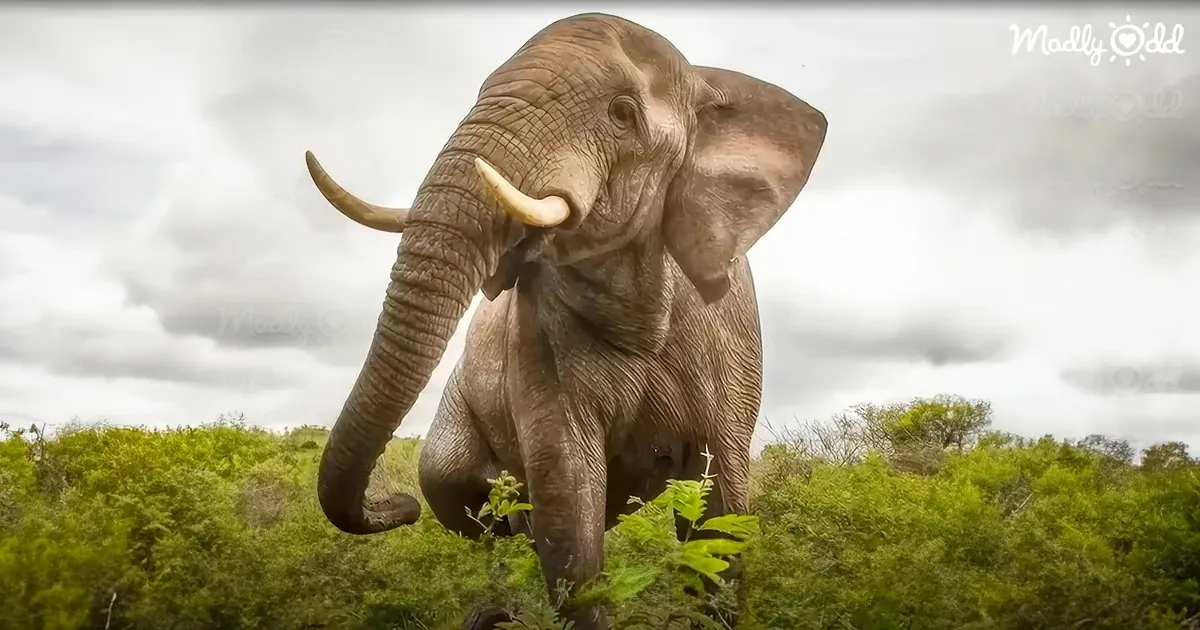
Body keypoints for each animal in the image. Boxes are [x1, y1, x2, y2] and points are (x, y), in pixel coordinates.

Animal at [304, 12, 826, 629]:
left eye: (621, 114)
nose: (396, 506)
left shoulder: (731, 338)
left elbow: (719, 519)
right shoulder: (536, 339)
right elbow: (568, 514)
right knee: (462, 495)